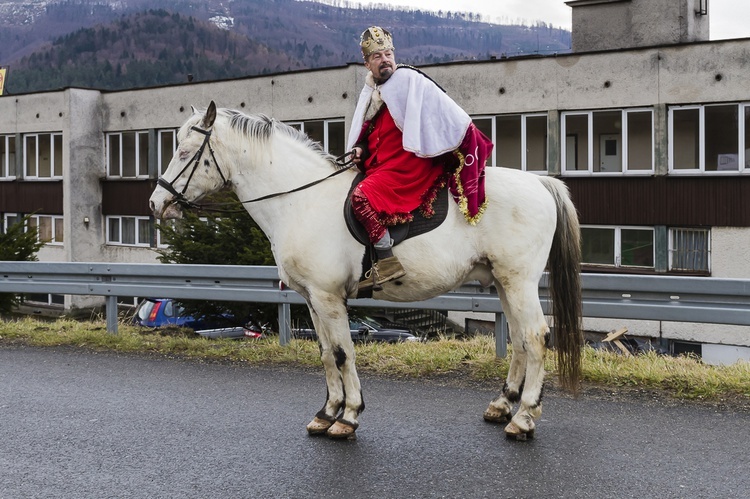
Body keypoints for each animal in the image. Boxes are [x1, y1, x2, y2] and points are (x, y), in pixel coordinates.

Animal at [150, 102, 584, 442]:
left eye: (185, 152)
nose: (156, 204)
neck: (301, 200)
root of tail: (542, 184)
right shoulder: (312, 299)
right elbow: (326, 354)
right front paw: (327, 412)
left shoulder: (329, 297)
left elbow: (343, 353)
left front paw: (348, 416)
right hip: (504, 283)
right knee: (520, 340)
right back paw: (503, 405)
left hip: (519, 281)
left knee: (535, 337)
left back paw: (524, 418)